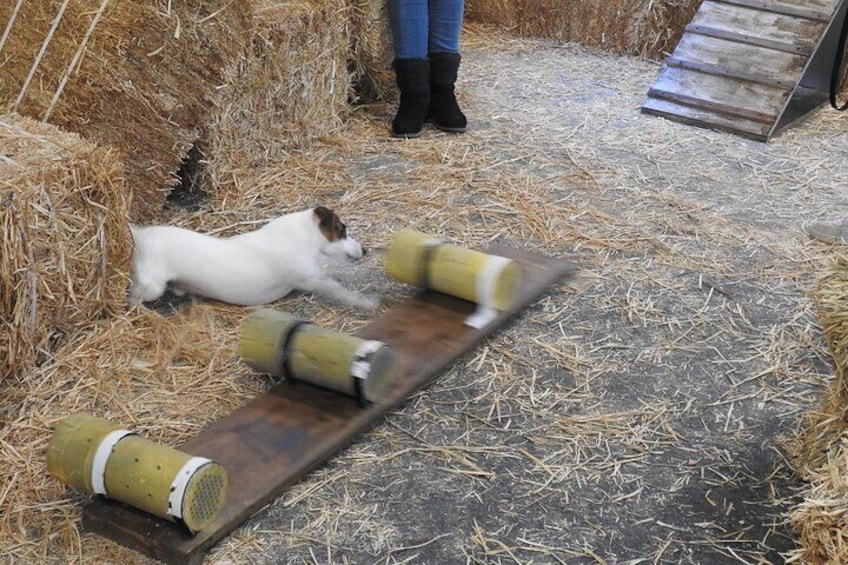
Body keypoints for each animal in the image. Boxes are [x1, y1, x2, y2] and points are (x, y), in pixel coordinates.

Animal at [128, 206, 374, 308]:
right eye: (342, 229)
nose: (365, 250)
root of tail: (139, 235)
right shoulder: (311, 279)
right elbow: (338, 289)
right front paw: (366, 302)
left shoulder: (316, 272)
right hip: (152, 287)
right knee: (132, 299)